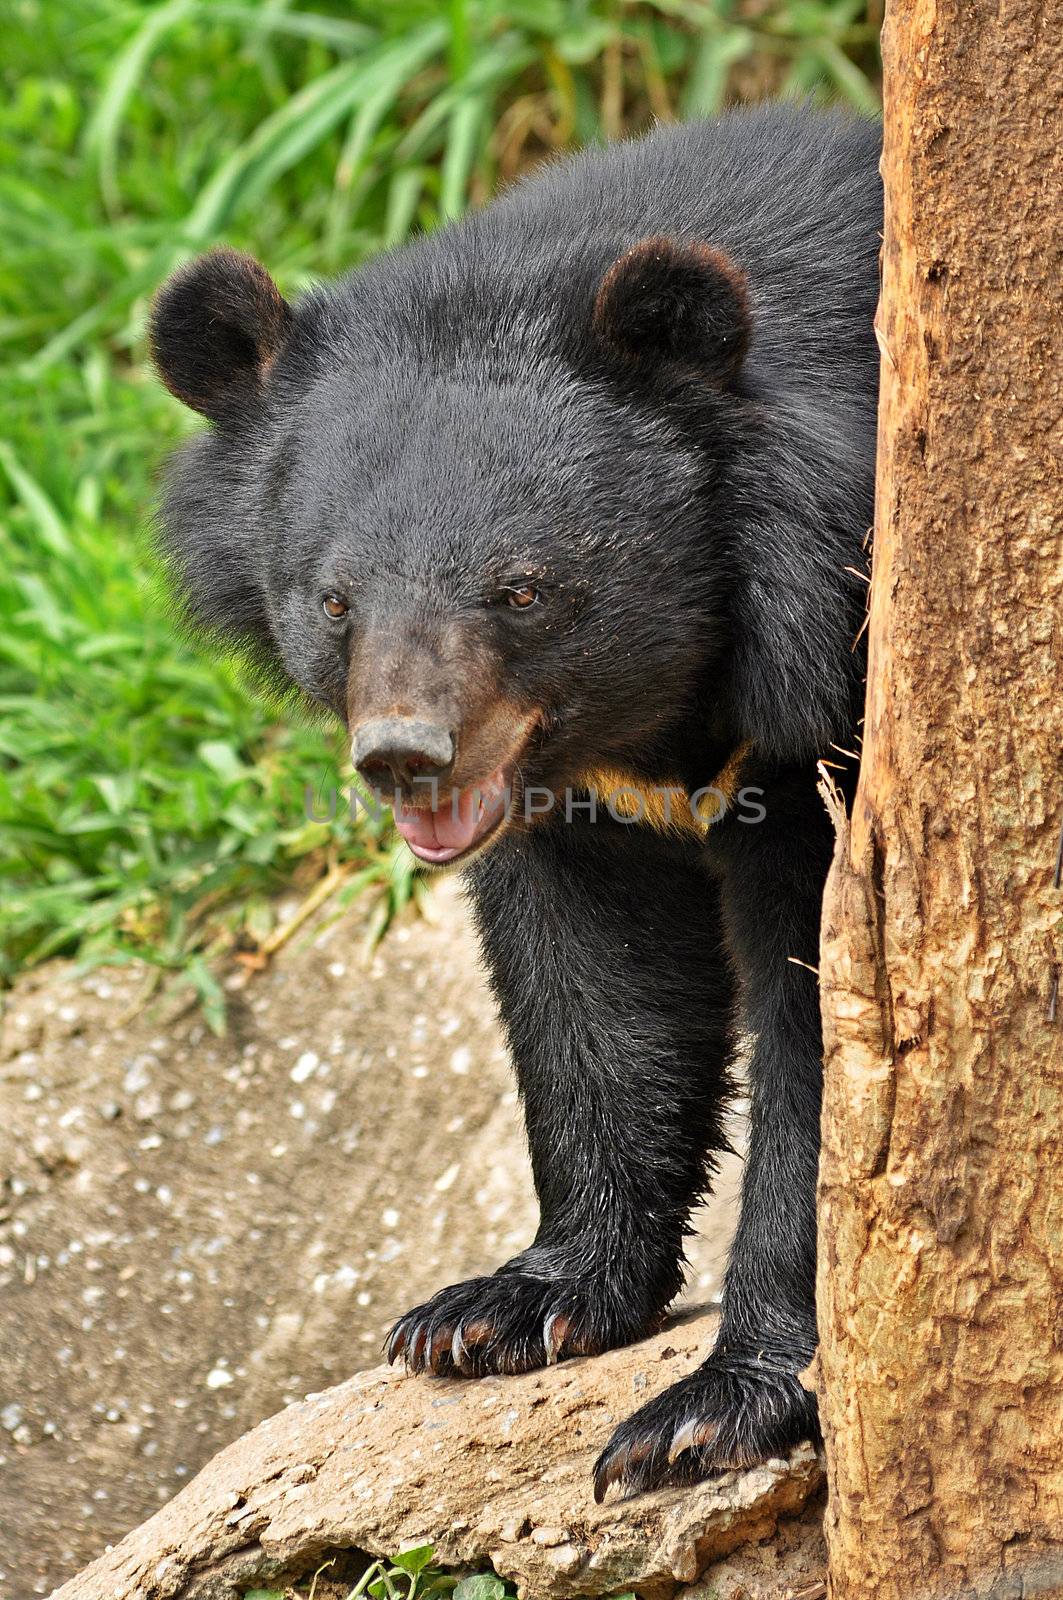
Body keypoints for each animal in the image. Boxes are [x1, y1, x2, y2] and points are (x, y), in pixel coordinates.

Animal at [149, 100, 877, 1497]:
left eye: (523, 589)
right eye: (334, 600)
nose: (405, 755)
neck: (668, 708)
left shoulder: (830, 713)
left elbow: (833, 1038)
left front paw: (709, 1411)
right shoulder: (572, 799)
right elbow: (595, 994)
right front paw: (501, 1309)